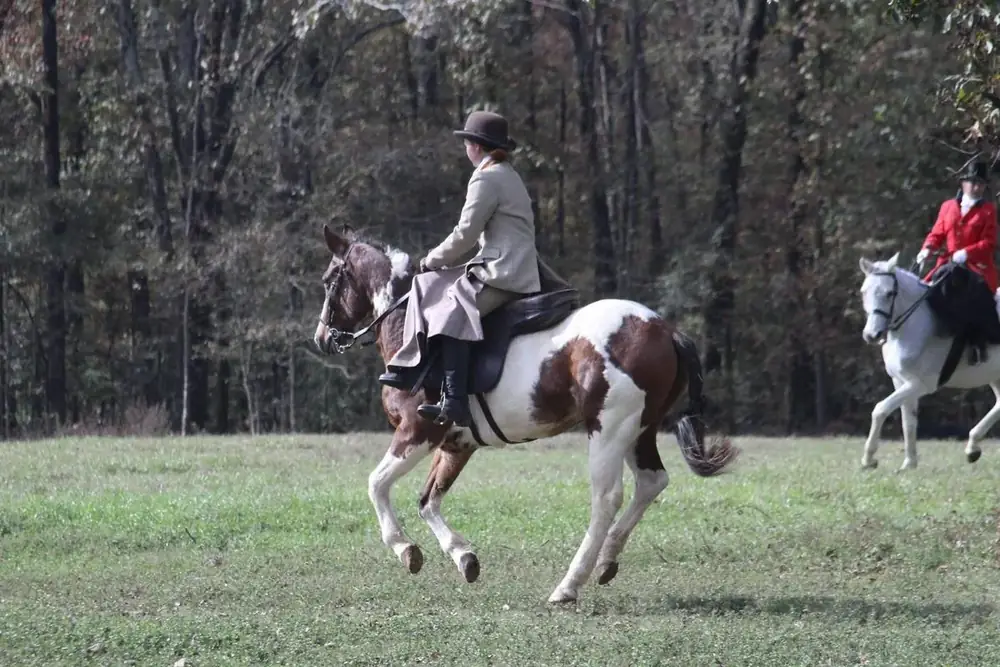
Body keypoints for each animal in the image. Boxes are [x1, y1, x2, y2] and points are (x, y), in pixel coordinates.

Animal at [311, 224, 738, 604]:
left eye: (330, 280)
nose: (322, 339)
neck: (408, 324)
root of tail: (664, 329)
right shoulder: (456, 444)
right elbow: (428, 501)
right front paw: (463, 557)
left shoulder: (419, 431)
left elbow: (377, 485)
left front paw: (405, 550)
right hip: (640, 430)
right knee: (651, 482)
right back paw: (607, 560)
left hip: (609, 430)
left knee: (606, 498)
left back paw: (569, 585)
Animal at [858, 251, 1000, 471]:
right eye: (864, 292)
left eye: (890, 293)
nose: (872, 335)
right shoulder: (901, 382)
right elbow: (908, 421)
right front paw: (909, 463)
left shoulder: (920, 384)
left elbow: (880, 409)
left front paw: (869, 458)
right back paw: (972, 448)